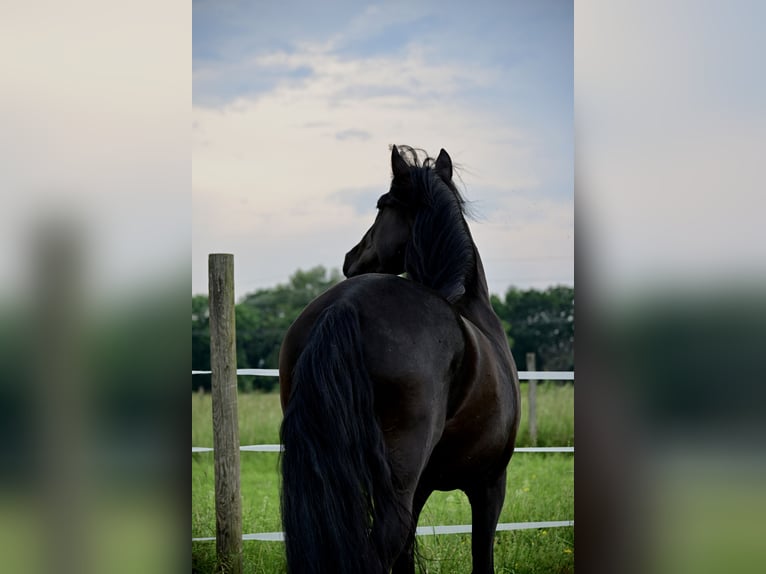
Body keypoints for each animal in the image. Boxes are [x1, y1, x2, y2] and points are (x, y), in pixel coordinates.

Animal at [280, 145, 520, 574]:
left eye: (380, 206)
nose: (350, 258)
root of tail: (345, 304)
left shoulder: (425, 486)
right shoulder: (490, 484)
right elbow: (481, 556)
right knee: (382, 543)